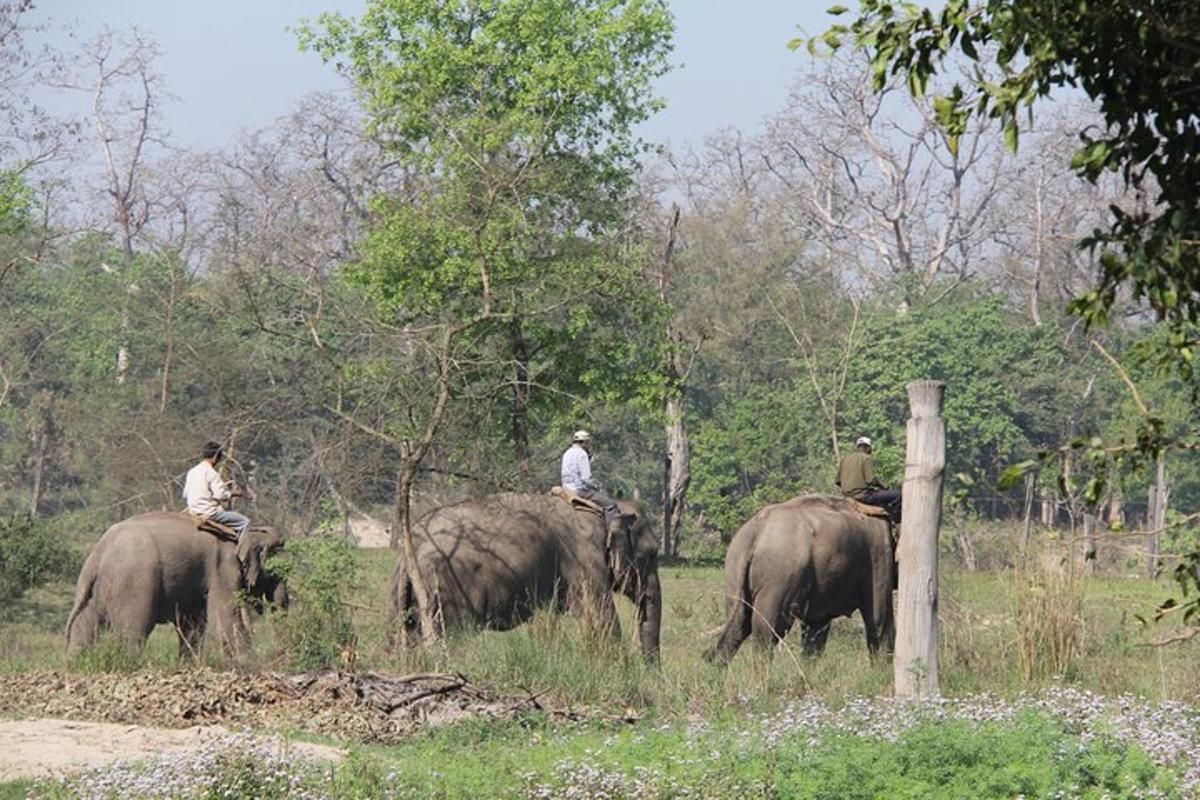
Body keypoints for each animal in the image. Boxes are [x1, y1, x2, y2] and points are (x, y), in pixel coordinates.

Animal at [66, 513, 288, 657]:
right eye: (276, 572)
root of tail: (98, 554)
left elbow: (192, 624)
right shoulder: (223, 569)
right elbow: (224, 620)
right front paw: (247, 663)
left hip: (95, 591)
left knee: (84, 631)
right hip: (133, 584)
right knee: (134, 633)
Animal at [391, 491, 662, 662]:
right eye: (652, 554)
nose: (649, 674)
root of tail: (412, 546)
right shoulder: (583, 559)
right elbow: (601, 618)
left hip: (405, 592)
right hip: (448, 590)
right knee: (453, 636)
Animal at [705, 494, 897, 662]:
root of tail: (755, 531)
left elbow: (816, 631)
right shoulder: (879, 556)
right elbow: (879, 620)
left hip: (735, 570)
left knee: (738, 624)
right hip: (779, 577)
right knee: (768, 632)